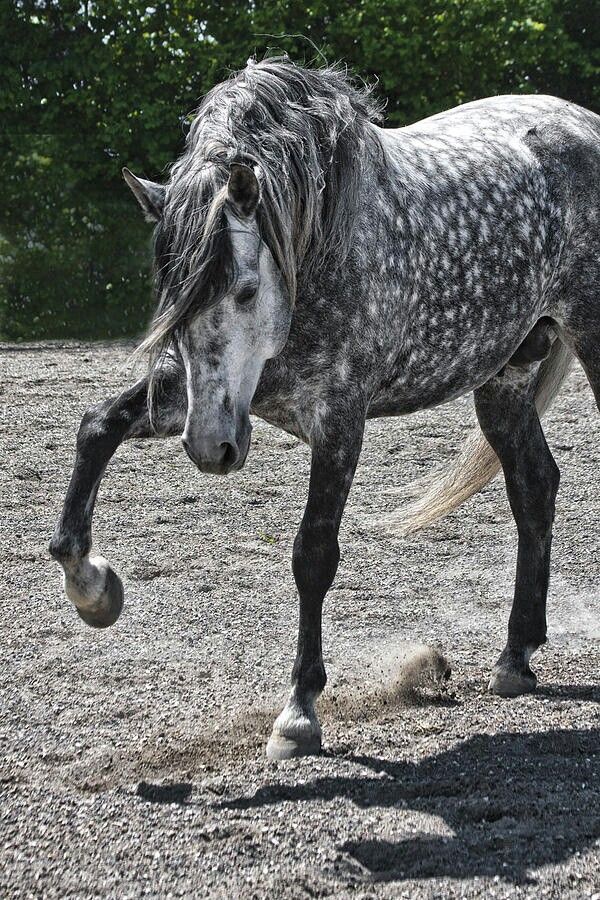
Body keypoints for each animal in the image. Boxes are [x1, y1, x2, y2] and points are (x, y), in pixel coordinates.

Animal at [50, 58, 600, 760]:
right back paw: (515, 658)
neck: (314, 248)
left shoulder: (338, 420)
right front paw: (93, 589)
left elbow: (313, 554)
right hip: (505, 379)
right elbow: (96, 429)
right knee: (535, 488)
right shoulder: (196, 399)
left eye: (244, 289)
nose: (211, 450)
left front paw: (299, 712)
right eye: (173, 295)